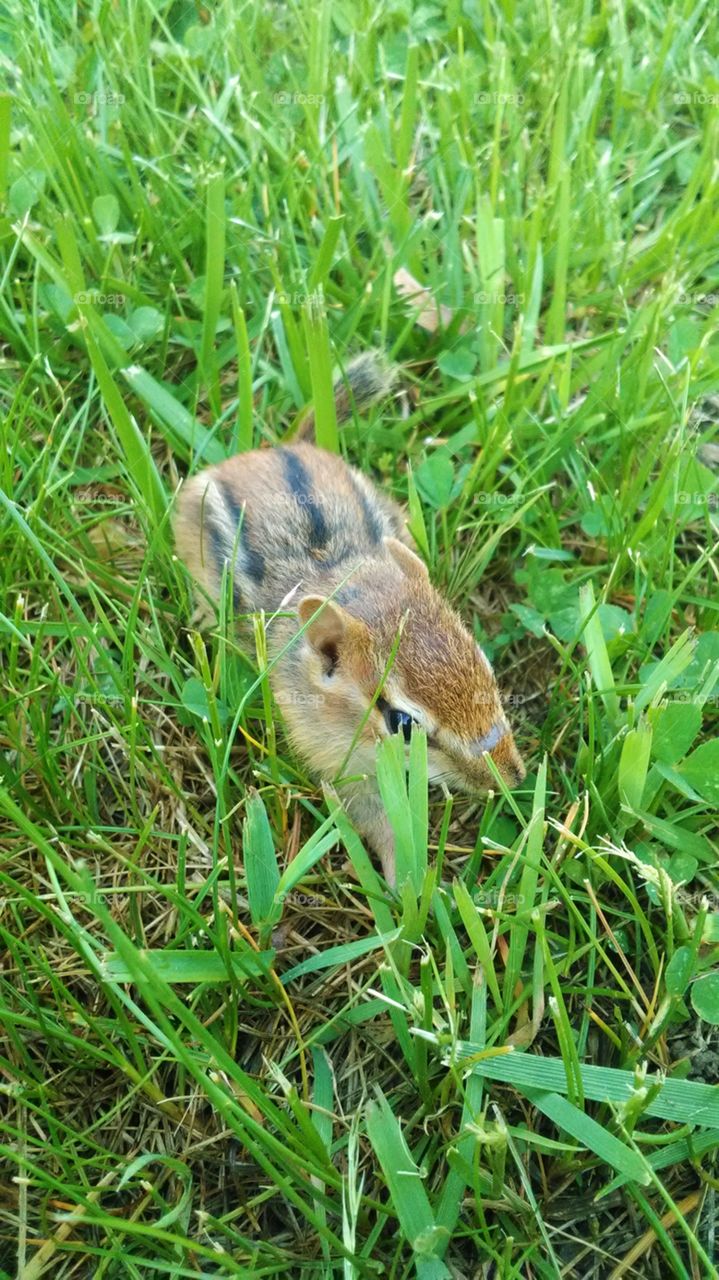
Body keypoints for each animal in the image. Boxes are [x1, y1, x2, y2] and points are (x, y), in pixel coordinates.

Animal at [173, 353, 526, 887]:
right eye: (403, 723)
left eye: (483, 661)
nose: (512, 776)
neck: (339, 576)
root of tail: (280, 447)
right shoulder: (336, 761)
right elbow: (377, 818)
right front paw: (406, 883)